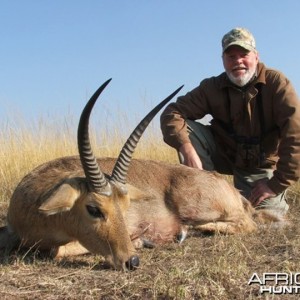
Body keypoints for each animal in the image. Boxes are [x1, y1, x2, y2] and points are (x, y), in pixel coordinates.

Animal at [0, 78, 284, 270]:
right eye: (93, 208)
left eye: (124, 206)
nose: (132, 261)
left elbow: (56, 251)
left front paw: (140, 242)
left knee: (246, 224)